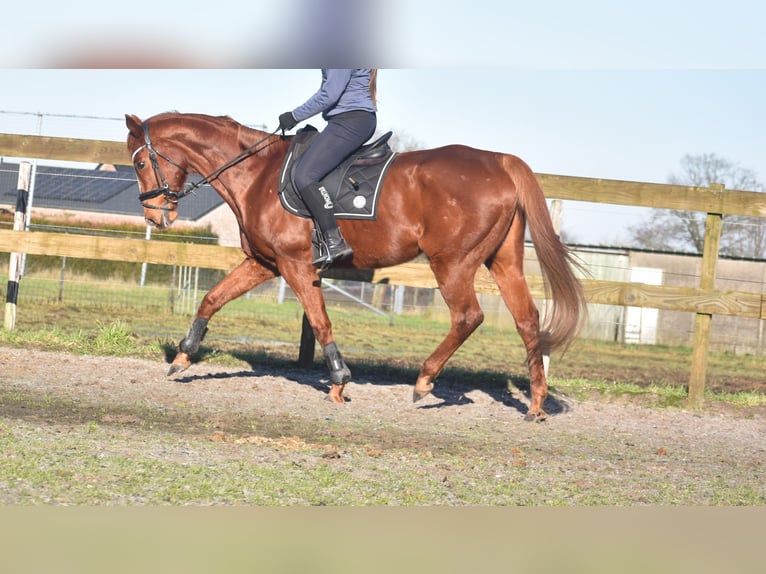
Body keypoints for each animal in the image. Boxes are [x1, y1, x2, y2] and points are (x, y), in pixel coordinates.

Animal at [126, 111, 584, 424]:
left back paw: (424, 382)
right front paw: (183, 357)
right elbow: (212, 298)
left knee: (468, 316)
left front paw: (339, 381)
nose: (155, 216)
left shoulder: (295, 264)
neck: (256, 174)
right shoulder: (263, 263)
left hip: (453, 263)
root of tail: (500, 162)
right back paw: (535, 405)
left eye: (140, 163)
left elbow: (319, 320)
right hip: (503, 262)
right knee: (527, 321)